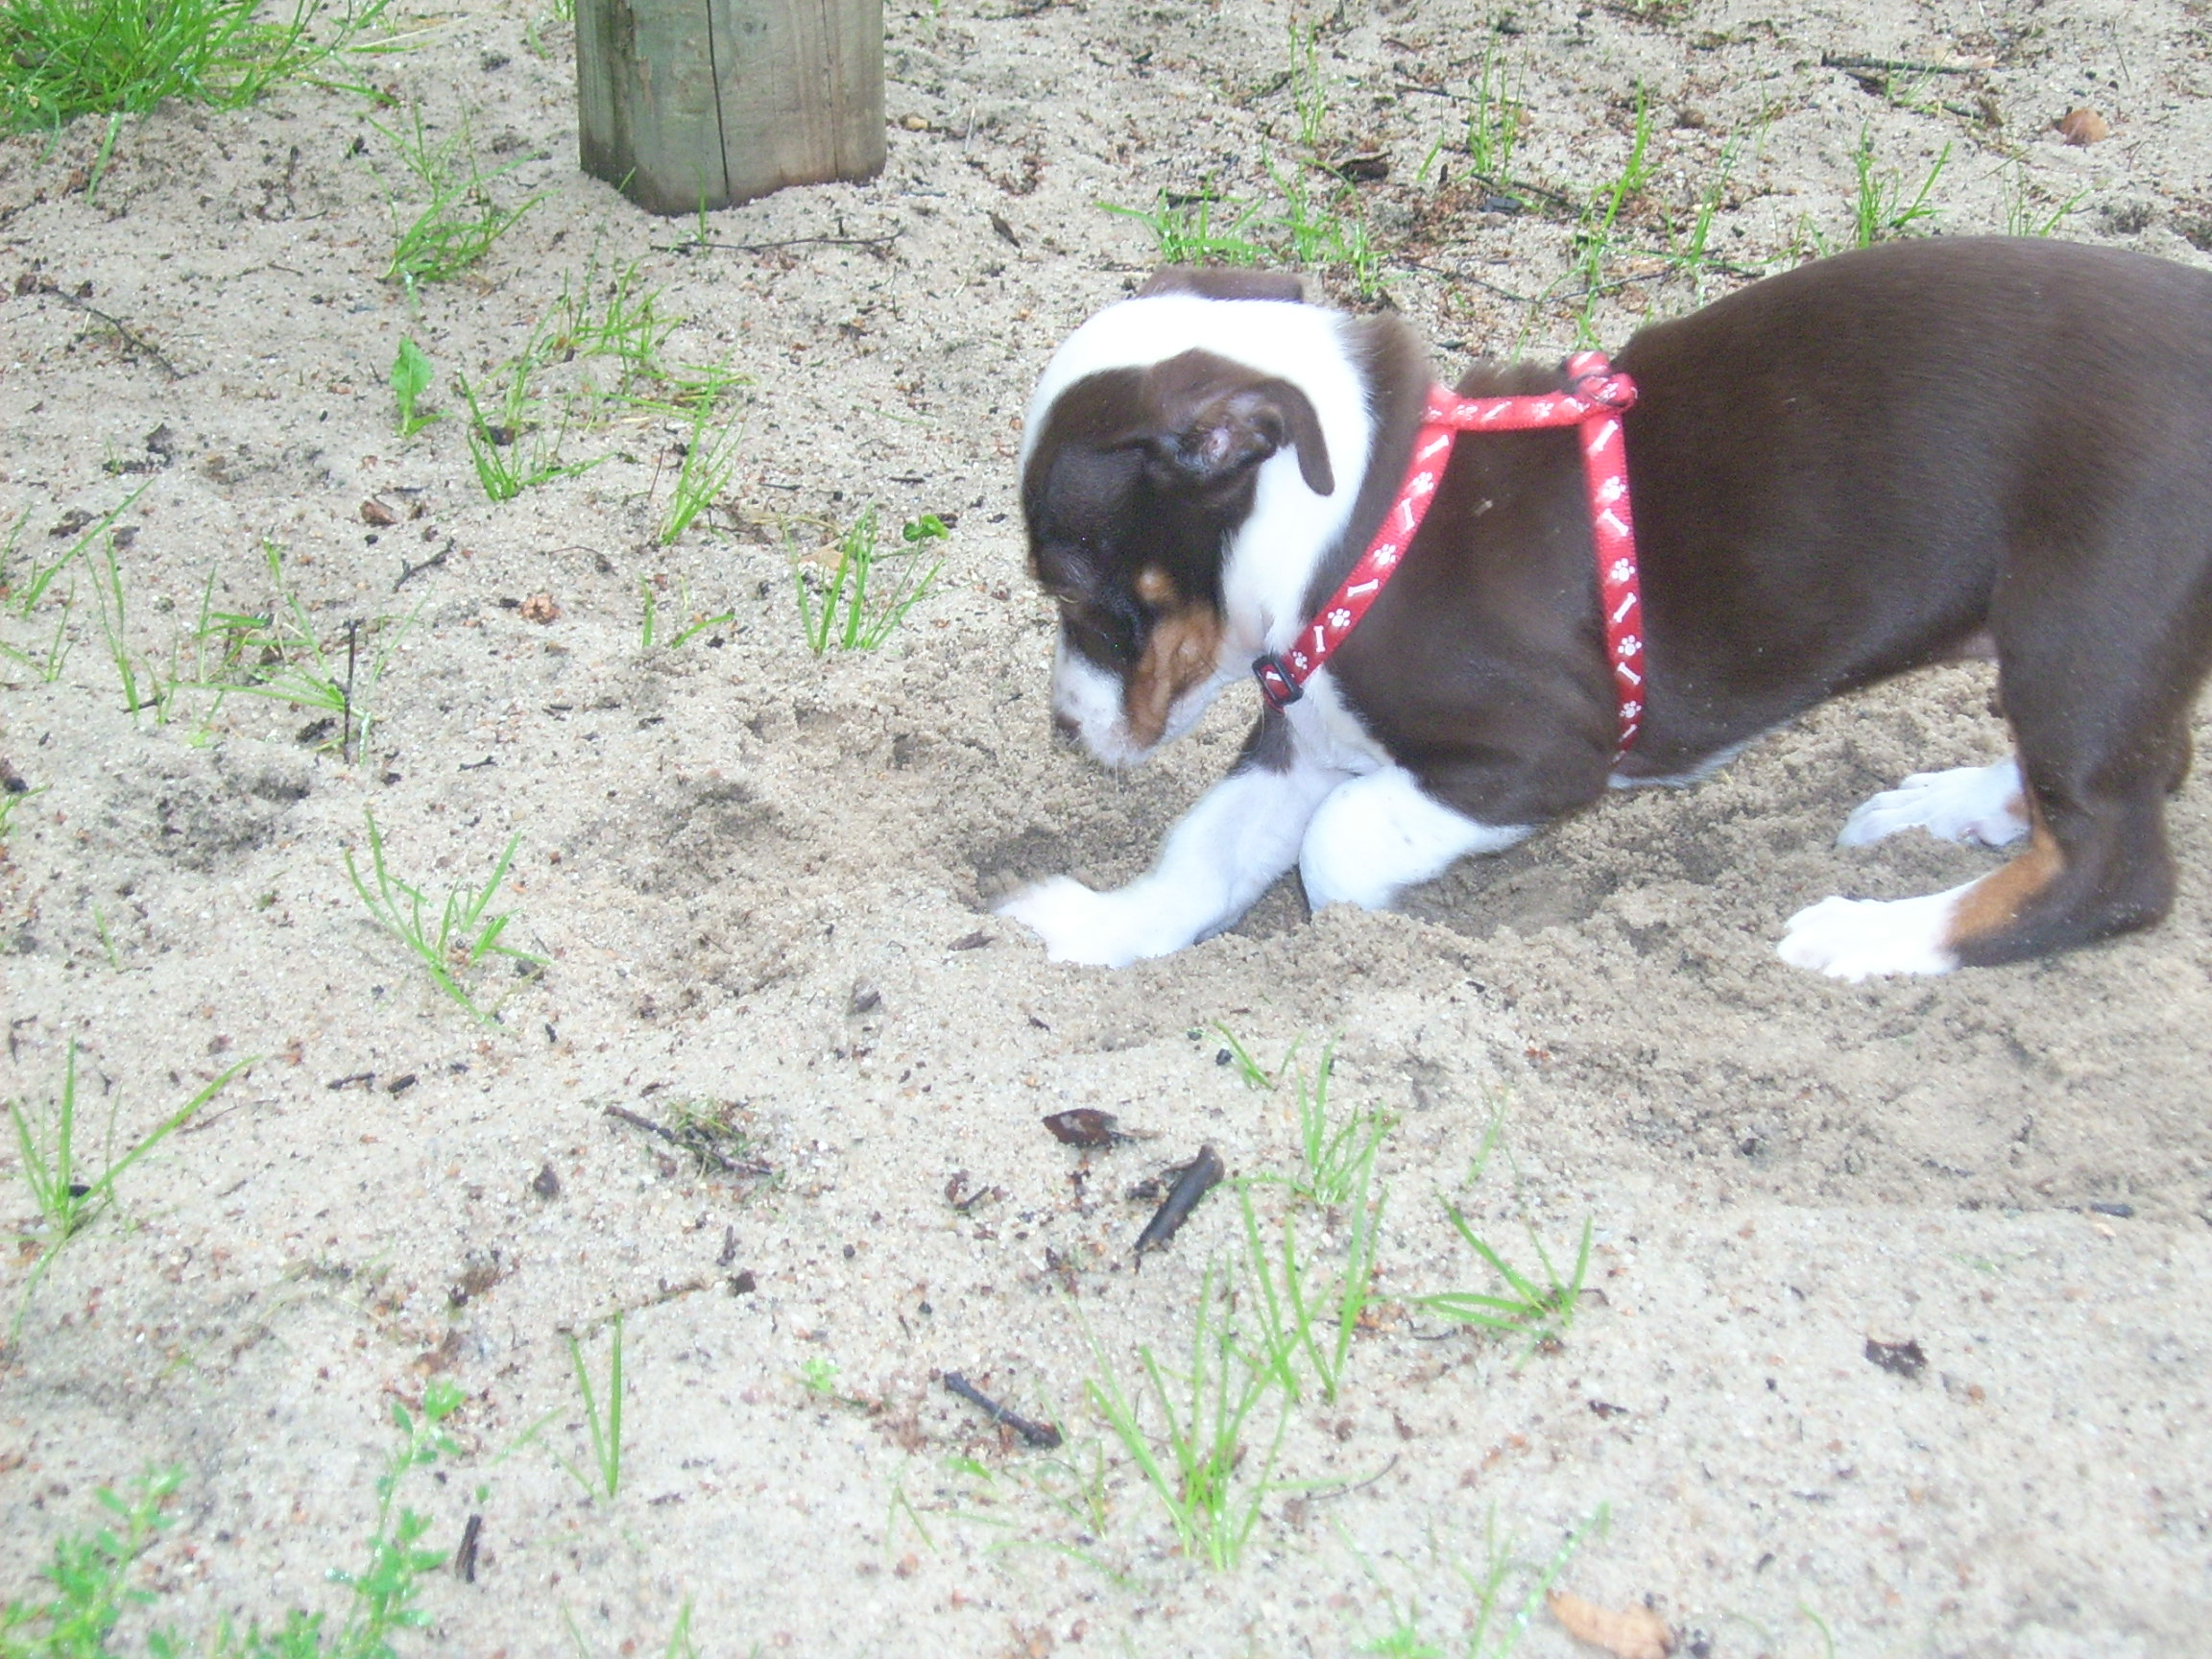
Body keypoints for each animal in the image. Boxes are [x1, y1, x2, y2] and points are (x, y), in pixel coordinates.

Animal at [995, 239, 2212, 981]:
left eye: (1068, 589)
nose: (1058, 728)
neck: (1351, 521)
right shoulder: (1310, 733)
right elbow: (1204, 851)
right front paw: (1095, 927)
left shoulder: (1538, 753)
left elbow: (1339, 846)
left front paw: (1371, 934)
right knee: (2127, 781)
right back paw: (1955, 807)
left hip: (2082, 618)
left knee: (2115, 868)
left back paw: (1874, 933)